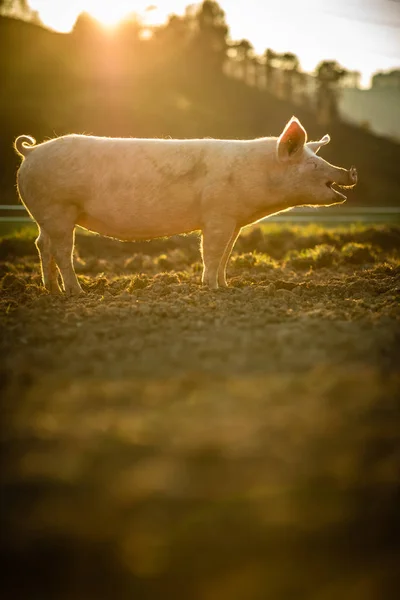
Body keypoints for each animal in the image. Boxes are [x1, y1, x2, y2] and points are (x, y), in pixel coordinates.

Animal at [14, 116, 356, 294]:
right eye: (313, 164)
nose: (349, 171)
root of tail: (30, 152)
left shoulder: (233, 221)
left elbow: (227, 254)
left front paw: (226, 286)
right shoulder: (218, 215)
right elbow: (212, 252)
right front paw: (211, 289)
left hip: (45, 216)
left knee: (41, 244)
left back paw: (52, 291)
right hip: (58, 209)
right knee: (62, 249)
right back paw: (77, 292)